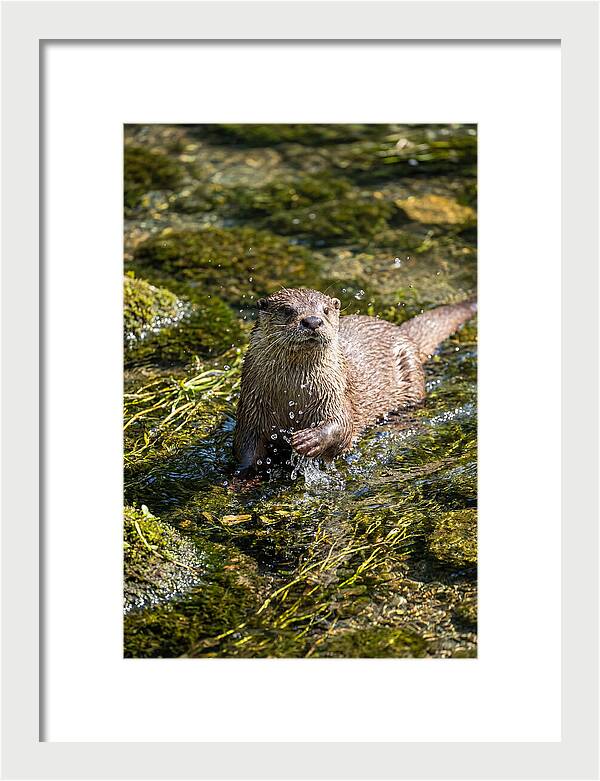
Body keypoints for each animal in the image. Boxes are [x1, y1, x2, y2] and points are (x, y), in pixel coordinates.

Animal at [233, 288, 476, 473]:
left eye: (325, 310)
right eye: (287, 310)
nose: (312, 321)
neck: (294, 395)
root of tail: (402, 333)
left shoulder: (336, 393)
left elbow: (343, 425)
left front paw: (309, 440)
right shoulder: (251, 408)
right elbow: (245, 449)